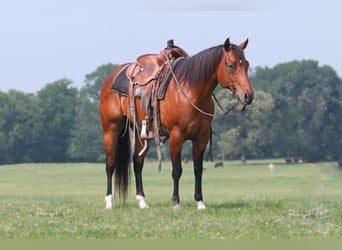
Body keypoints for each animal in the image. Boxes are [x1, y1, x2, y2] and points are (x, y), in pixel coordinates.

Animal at [99, 38, 254, 210]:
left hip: (141, 132)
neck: (190, 92)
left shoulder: (202, 137)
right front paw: (176, 203)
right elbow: (177, 170)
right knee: (110, 164)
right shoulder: (176, 136)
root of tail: (112, 76)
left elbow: (198, 169)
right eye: (231, 65)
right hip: (111, 130)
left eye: (246, 64)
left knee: (137, 163)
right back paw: (109, 202)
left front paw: (200, 202)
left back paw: (142, 202)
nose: (248, 95)